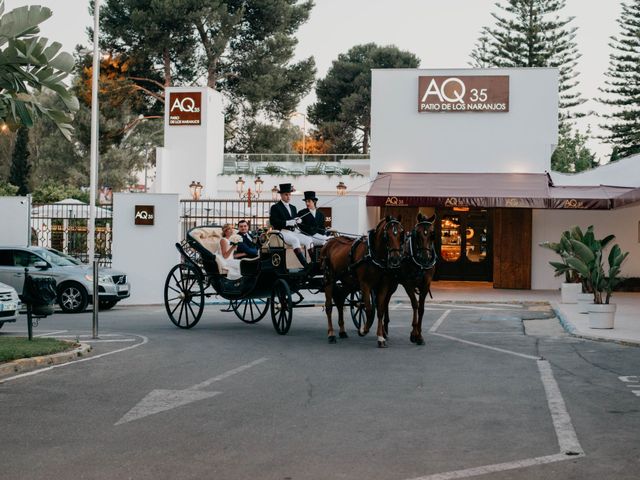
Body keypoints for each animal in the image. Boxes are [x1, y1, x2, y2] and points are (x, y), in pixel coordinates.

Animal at [320, 216, 404, 346]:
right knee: (329, 306)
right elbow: (368, 309)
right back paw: (331, 334)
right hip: (329, 278)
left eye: (401, 234)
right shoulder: (365, 285)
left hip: (348, 282)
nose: (395, 259)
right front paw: (363, 329)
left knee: (340, 300)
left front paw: (381, 337)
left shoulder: (383, 285)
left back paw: (342, 331)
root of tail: (329, 242)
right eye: (387, 236)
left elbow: (380, 310)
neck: (373, 255)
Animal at [382, 214, 438, 344]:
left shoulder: (425, 285)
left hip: (393, 284)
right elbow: (415, 304)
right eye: (417, 233)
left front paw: (419, 336)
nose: (425, 257)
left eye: (432, 234)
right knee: (383, 301)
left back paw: (385, 328)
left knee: (386, 300)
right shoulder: (408, 284)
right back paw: (384, 330)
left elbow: (421, 308)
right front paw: (414, 333)